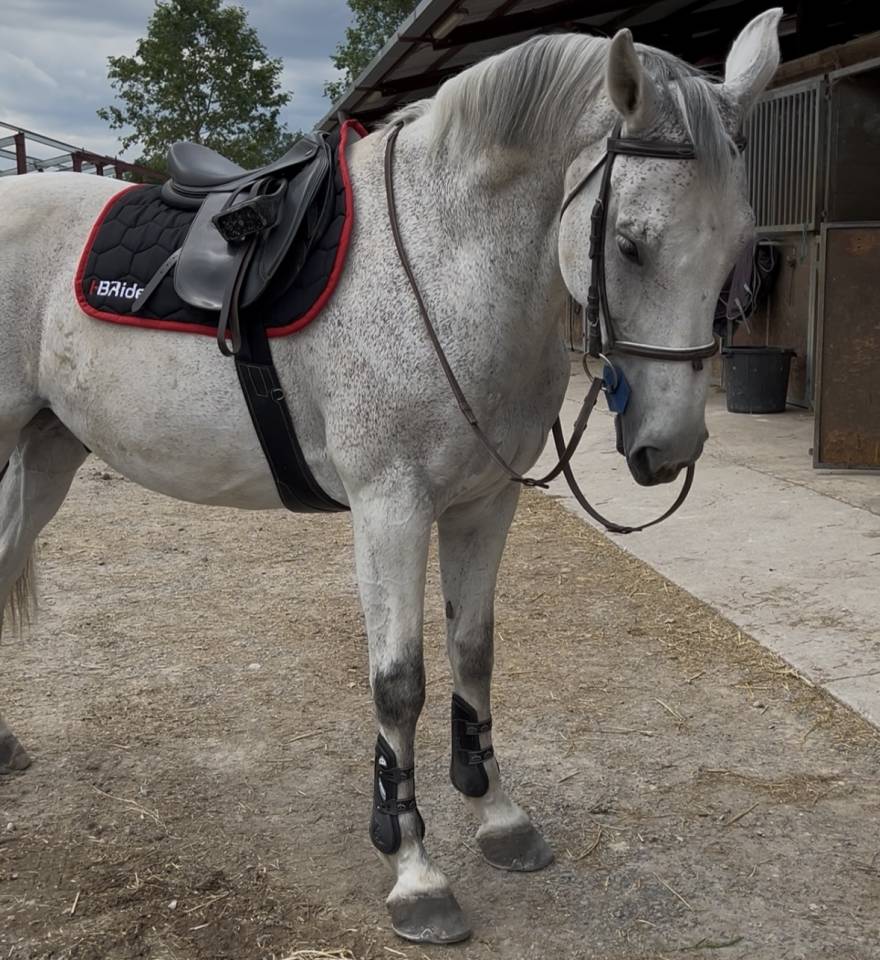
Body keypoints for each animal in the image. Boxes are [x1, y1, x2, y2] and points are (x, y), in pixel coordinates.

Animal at [0, 10, 781, 944]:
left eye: (740, 248)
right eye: (629, 243)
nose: (668, 448)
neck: (449, 265)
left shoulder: (485, 503)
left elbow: (474, 652)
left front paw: (497, 814)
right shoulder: (390, 508)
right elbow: (399, 683)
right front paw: (412, 867)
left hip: (48, 452)